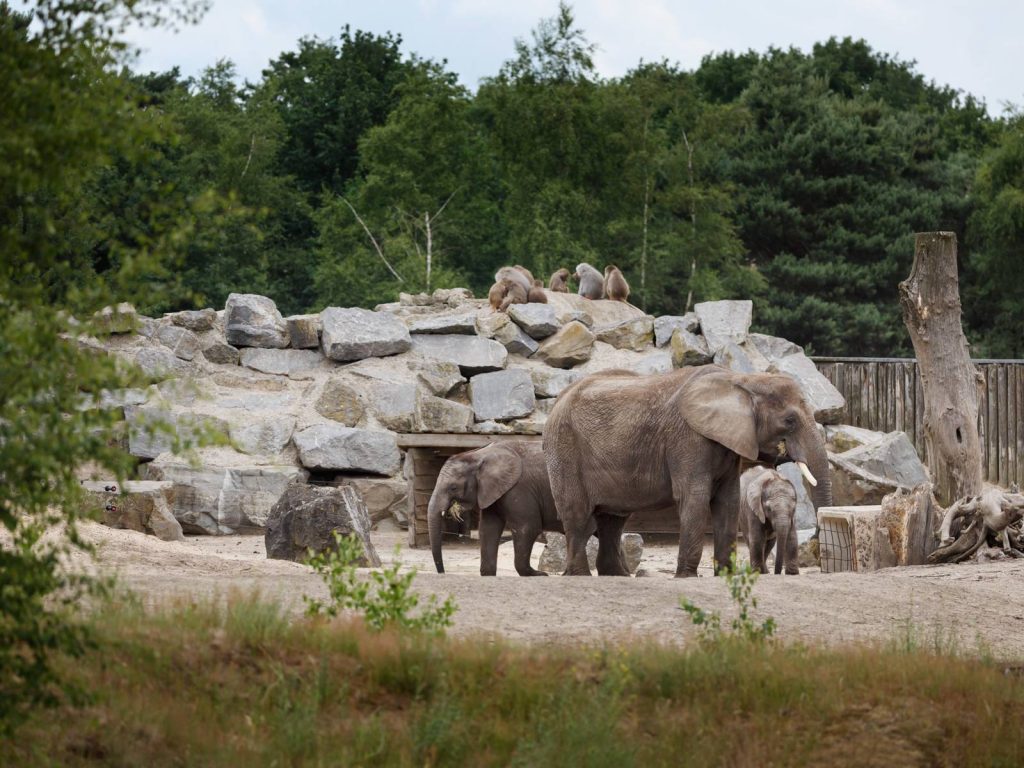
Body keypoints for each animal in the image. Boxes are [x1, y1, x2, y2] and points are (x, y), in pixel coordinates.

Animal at [425, 438, 589, 577]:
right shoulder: (492, 493)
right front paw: (488, 574)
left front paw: (539, 575)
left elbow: (527, 528)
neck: (479, 454)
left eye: (453, 487)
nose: (443, 573)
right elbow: (488, 529)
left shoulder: (519, 489)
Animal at [544, 366, 831, 577]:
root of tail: (557, 402)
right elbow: (695, 497)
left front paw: (725, 575)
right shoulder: (688, 439)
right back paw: (580, 575)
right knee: (577, 514)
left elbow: (728, 501)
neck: (741, 380)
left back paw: (616, 576)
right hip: (564, 448)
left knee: (612, 520)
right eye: (790, 420)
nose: (779, 572)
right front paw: (686, 576)